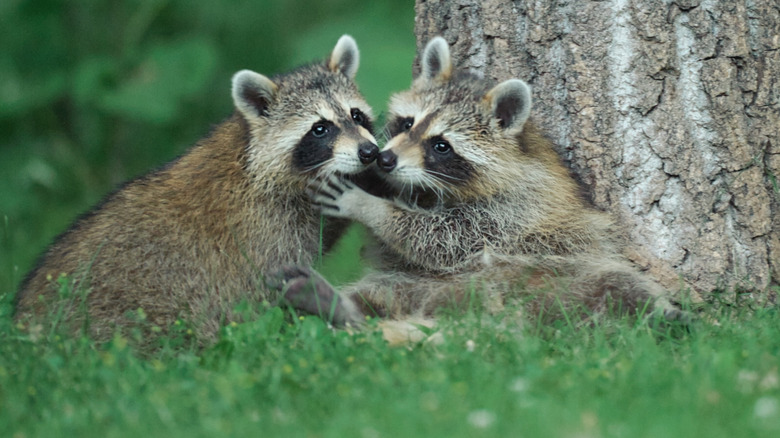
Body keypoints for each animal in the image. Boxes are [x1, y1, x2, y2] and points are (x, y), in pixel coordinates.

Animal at [15, 35, 376, 345]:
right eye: (320, 129)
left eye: (357, 115)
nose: (369, 152)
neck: (253, 154)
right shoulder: (263, 228)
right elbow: (271, 288)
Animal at [296, 37, 685, 327]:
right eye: (408, 123)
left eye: (440, 145)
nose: (385, 160)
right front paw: (374, 181)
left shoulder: (515, 207)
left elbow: (440, 239)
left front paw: (370, 205)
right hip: (412, 285)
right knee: (379, 292)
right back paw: (332, 303)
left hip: (572, 273)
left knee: (621, 286)